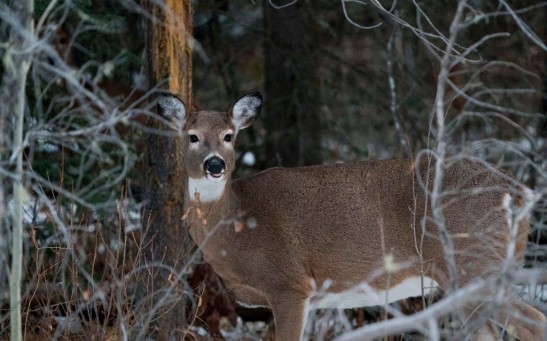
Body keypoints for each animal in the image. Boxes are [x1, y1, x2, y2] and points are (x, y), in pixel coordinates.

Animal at [156, 93, 544, 340]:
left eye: (229, 136)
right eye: (192, 136)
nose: (215, 165)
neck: (237, 225)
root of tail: (518, 193)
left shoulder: (290, 285)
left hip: (474, 263)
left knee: (534, 321)